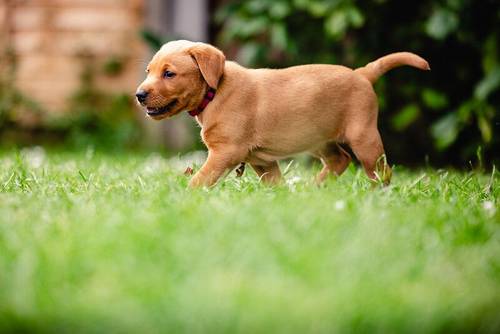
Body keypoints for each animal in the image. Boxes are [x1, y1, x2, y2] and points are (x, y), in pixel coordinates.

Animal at [137, 40, 430, 187]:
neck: (215, 91)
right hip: (320, 140)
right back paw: (314, 188)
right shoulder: (260, 161)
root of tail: (361, 73)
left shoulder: (225, 152)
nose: (139, 95)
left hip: (364, 137)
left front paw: (184, 198)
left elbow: (199, 180)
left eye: (169, 74)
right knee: (340, 160)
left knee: (381, 171)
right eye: (148, 71)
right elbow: (274, 184)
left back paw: (378, 192)